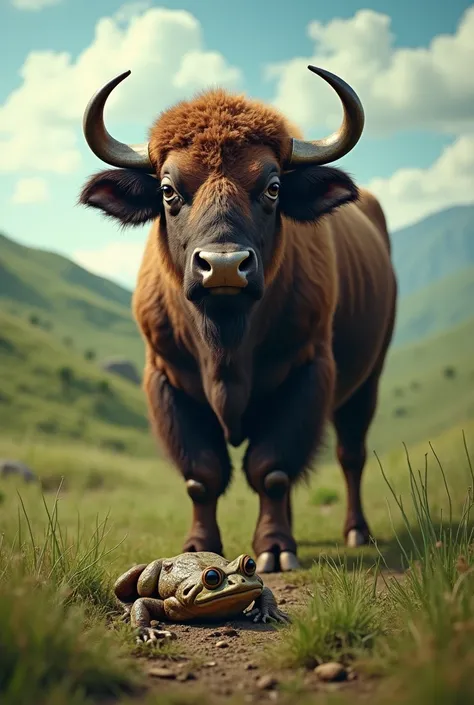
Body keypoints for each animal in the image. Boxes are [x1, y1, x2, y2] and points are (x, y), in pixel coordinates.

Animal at [78, 66, 396, 572]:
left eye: (273, 187)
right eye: (168, 189)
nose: (224, 266)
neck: (226, 347)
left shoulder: (308, 370)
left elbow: (272, 469)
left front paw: (275, 550)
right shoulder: (166, 378)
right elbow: (202, 475)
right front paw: (197, 547)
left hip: (369, 377)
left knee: (351, 453)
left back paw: (356, 532)